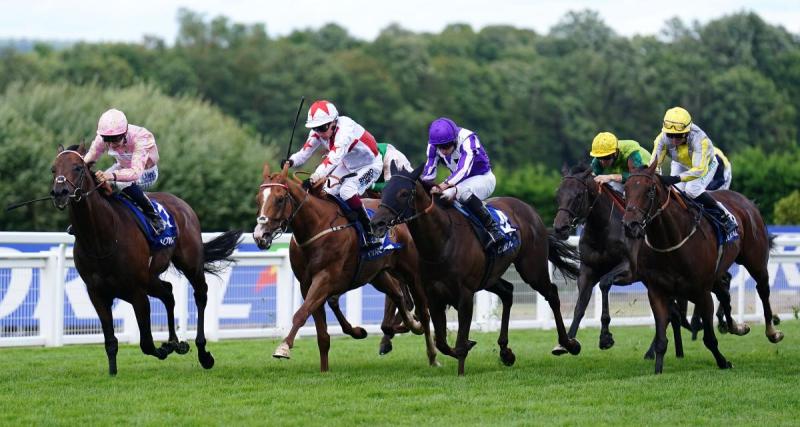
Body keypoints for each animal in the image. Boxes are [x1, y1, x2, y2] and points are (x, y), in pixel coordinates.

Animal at [50, 145, 242, 376]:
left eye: (78, 167)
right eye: (53, 169)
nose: (60, 193)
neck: (101, 238)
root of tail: (183, 205)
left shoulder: (136, 291)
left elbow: (147, 343)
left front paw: (165, 349)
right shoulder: (97, 293)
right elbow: (110, 340)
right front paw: (113, 373)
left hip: (190, 264)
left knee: (200, 295)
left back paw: (203, 353)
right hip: (151, 277)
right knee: (168, 292)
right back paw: (175, 341)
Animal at [252, 164, 434, 372]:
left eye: (280, 199)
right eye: (258, 199)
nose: (260, 235)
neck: (317, 226)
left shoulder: (325, 278)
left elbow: (301, 314)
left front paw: (283, 347)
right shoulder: (307, 284)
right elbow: (322, 334)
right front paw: (325, 369)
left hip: (411, 272)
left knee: (421, 307)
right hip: (376, 274)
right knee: (397, 294)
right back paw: (408, 325)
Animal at [368, 166, 580, 376]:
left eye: (404, 193)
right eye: (384, 191)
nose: (377, 223)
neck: (442, 241)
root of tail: (528, 209)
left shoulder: (465, 295)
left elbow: (460, 339)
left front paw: (461, 371)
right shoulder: (434, 296)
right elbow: (442, 342)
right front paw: (465, 348)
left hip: (532, 268)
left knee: (551, 293)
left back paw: (568, 344)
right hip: (491, 277)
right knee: (508, 292)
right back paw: (506, 352)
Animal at [552, 166, 748, 360]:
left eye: (578, 195)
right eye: (558, 193)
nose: (560, 227)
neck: (604, 230)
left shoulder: (629, 270)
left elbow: (604, 283)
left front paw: (605, 337)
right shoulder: (587, 271)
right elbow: (580, 306)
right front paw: (567, 343)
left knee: (716, 288)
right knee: (681, 308)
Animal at [620, 164, 780, 374]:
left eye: (650, 191)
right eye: (626, 190)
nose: (630, 225)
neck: (670, 241)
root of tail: (747, 202)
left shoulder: (702, 292)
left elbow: (709, 339)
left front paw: (723, 362)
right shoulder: (657, 291)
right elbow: (662, 338)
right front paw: (657, 370)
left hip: (756, 260)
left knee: (762, 289)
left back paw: (772, 331)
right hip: (717, 274)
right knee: (725, 293)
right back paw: (735, 327)